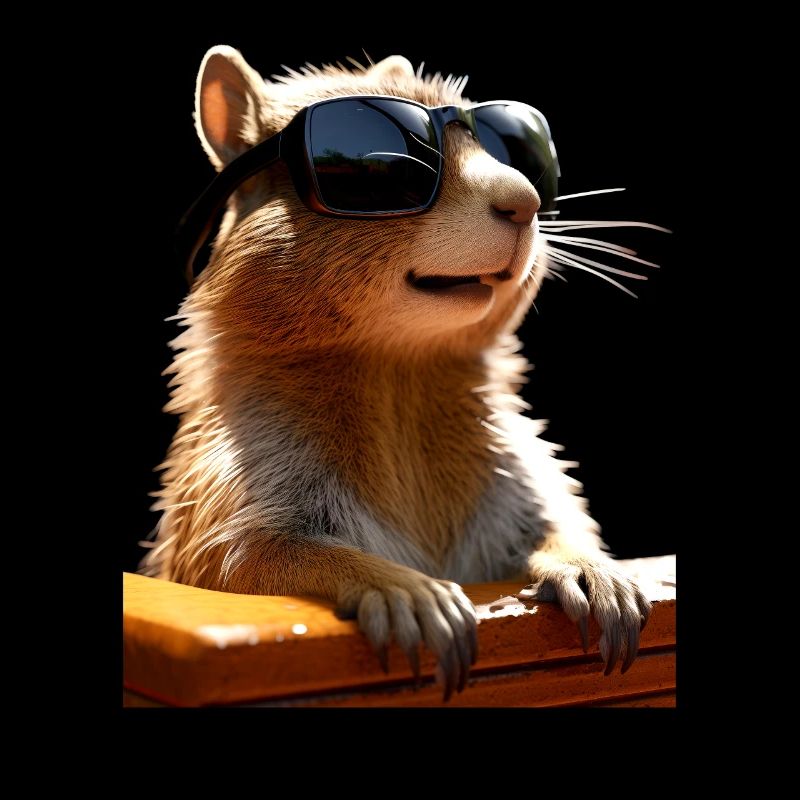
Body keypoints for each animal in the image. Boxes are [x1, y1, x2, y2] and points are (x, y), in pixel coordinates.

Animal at [141, 46, 652, 700]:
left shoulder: (521, 474)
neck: (399, 368)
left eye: (518, 151)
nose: (526, 201)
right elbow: (249, 557)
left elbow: (553, 522)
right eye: (381, 167)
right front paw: (407, 590)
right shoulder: (233, 478)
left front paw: (594, 570)